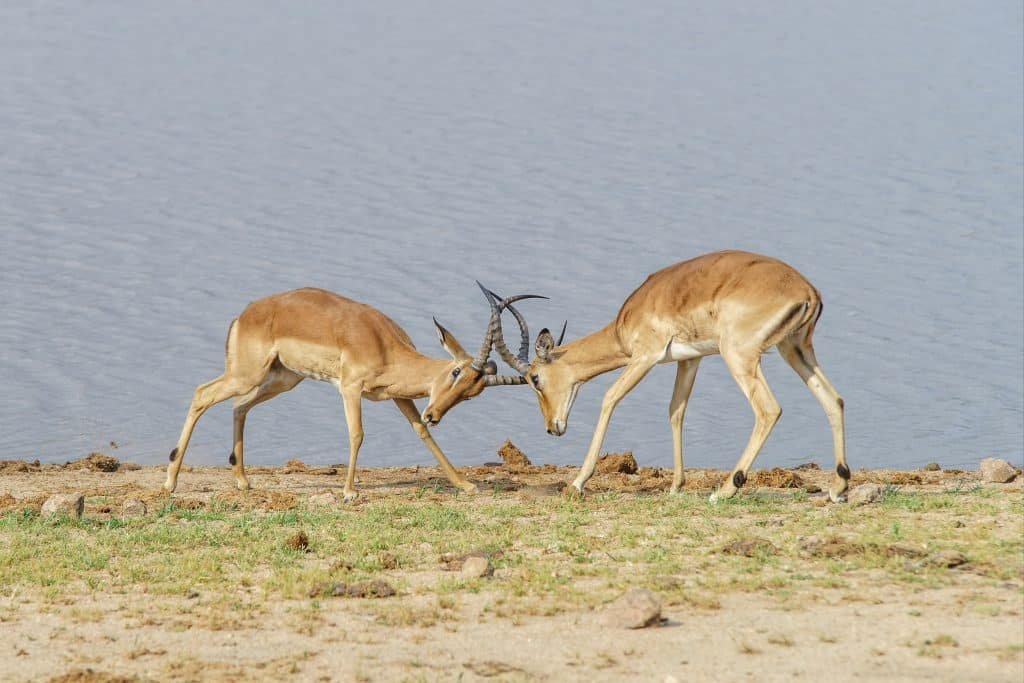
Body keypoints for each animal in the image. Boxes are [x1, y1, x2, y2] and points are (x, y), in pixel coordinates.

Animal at [164, 286, 536, 499]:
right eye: (456, 372)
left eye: (472, 393)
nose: (435, 414)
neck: (385, 346)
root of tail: (245, 314)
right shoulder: (350, 388)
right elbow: (357, 434)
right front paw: (348, 491)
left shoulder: (399, 396)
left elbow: (421, 432)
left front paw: (464, 484)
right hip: (247, 374)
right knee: (202, 394)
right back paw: (170, 483)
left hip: (282, 379)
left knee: (238, 407)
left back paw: (242, 481)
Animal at [483, 249, 851, 501]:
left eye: (534, 379)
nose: (552, 427)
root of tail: (807, 291)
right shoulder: (689, 360)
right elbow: (676, 410)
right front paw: (676, 485)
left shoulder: (644, 357)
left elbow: (609, 398)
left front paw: (576, 483)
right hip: (795, 349)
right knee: (834, 399)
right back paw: (839, 487)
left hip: (739, 356)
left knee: (769, 409)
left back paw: (725, 489)